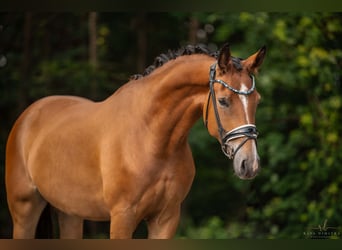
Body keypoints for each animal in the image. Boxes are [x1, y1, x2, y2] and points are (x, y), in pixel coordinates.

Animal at [6, 43, 268, 238]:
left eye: (257, 101)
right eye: (223, 101)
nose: (249, 164)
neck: (152, 139)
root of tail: (28, 115)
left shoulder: (166, 218)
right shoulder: (122, 217)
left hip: (70, 213)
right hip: (24, 210)